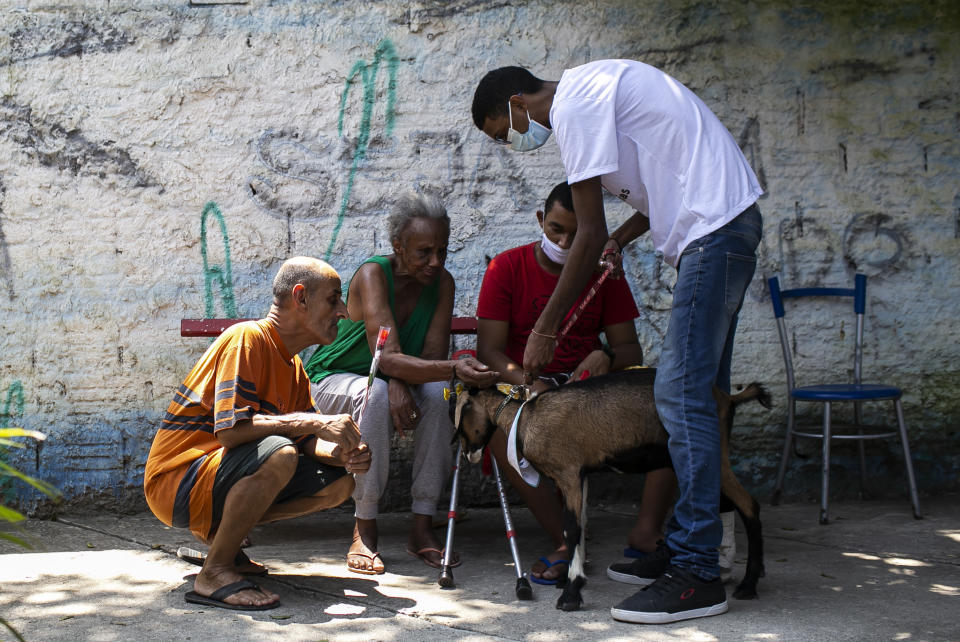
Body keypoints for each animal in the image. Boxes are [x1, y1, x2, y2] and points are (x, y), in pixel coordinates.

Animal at [454, 368, 768, 608]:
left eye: (459, 422)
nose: (469, 454)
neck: (527, 418)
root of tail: (727, 398)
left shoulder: (568, 472)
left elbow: (572, 528)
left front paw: (571, 594)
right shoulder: (580, 475)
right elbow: (581, 524)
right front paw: (572, 581)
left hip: (714, 453)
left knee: (749, 505)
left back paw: (748, 584)